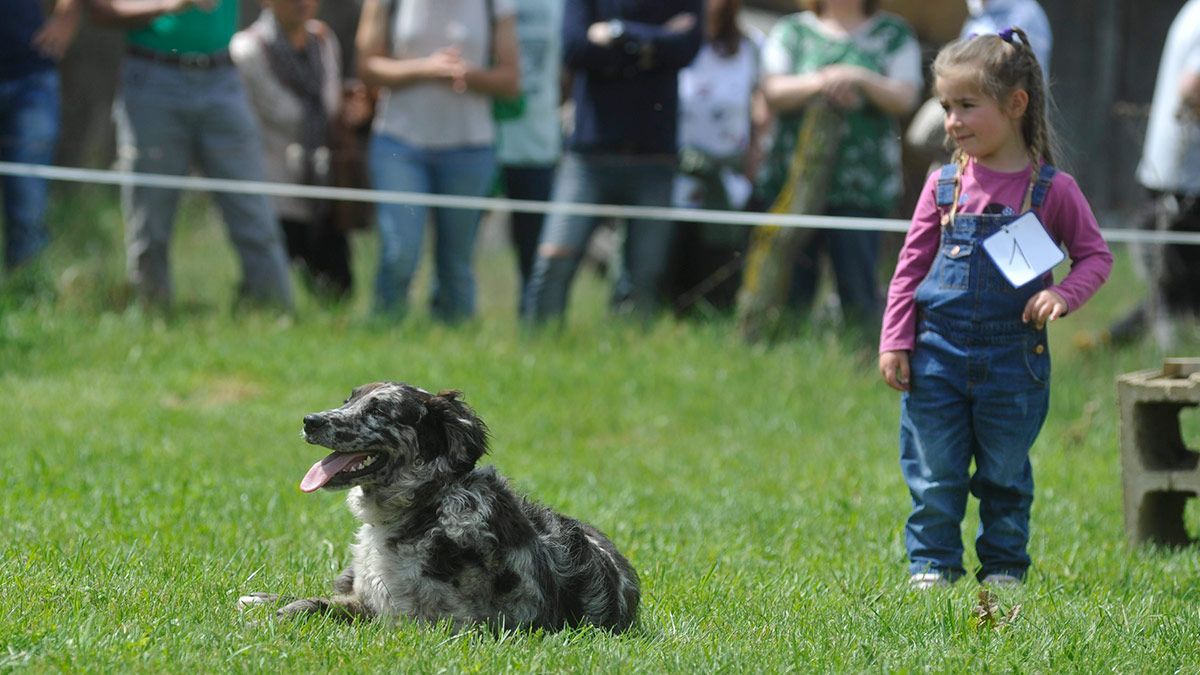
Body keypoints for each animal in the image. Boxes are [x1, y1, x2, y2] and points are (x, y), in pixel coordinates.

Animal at [237, 384, 643, 629]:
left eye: (379, 411)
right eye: (347, 400)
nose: (311, 421)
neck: (425, 507)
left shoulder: (417, 621)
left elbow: (323, 608)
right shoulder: (365, 594)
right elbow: (315, 599)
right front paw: (262, 600)